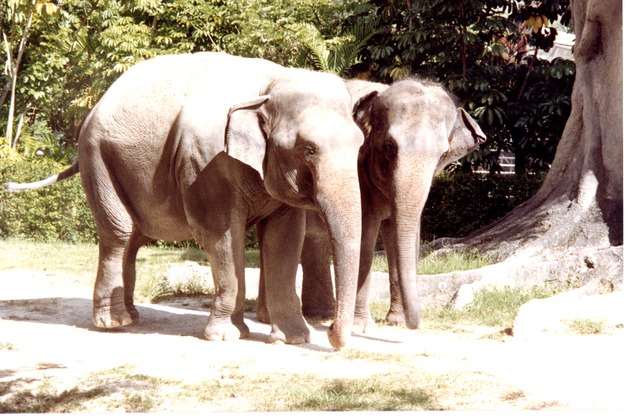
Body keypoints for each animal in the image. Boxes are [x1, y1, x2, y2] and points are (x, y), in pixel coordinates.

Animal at [4, 50, 368, 350]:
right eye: (308, 149)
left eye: (359, 143)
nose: (332, 332)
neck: (270, 84)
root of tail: (96, 106)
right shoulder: (206, 164)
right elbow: (221, 236)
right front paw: (226, 336)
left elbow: (284, 240)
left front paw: (293, 339)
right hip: (97, 157)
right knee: (120, 233)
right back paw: (113, 323)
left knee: (134, 237)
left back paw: (132, 317)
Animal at [256, 77, 488, 330]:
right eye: (389, 146)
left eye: (443, 154)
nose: (414, 324)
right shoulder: (357, 169)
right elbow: (364, 236)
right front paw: (361, 326)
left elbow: (402, 235)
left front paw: (396, 322)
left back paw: (319, 314)